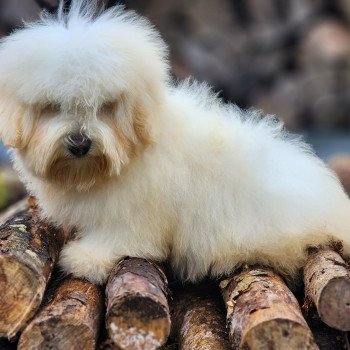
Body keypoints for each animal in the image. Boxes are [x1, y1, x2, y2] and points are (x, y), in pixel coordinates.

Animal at [0, 0, 350, 286]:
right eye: (53, 107)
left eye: (105, 107)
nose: (80, 143)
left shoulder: (133, 213)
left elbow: (119, 237)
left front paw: (87, 258)